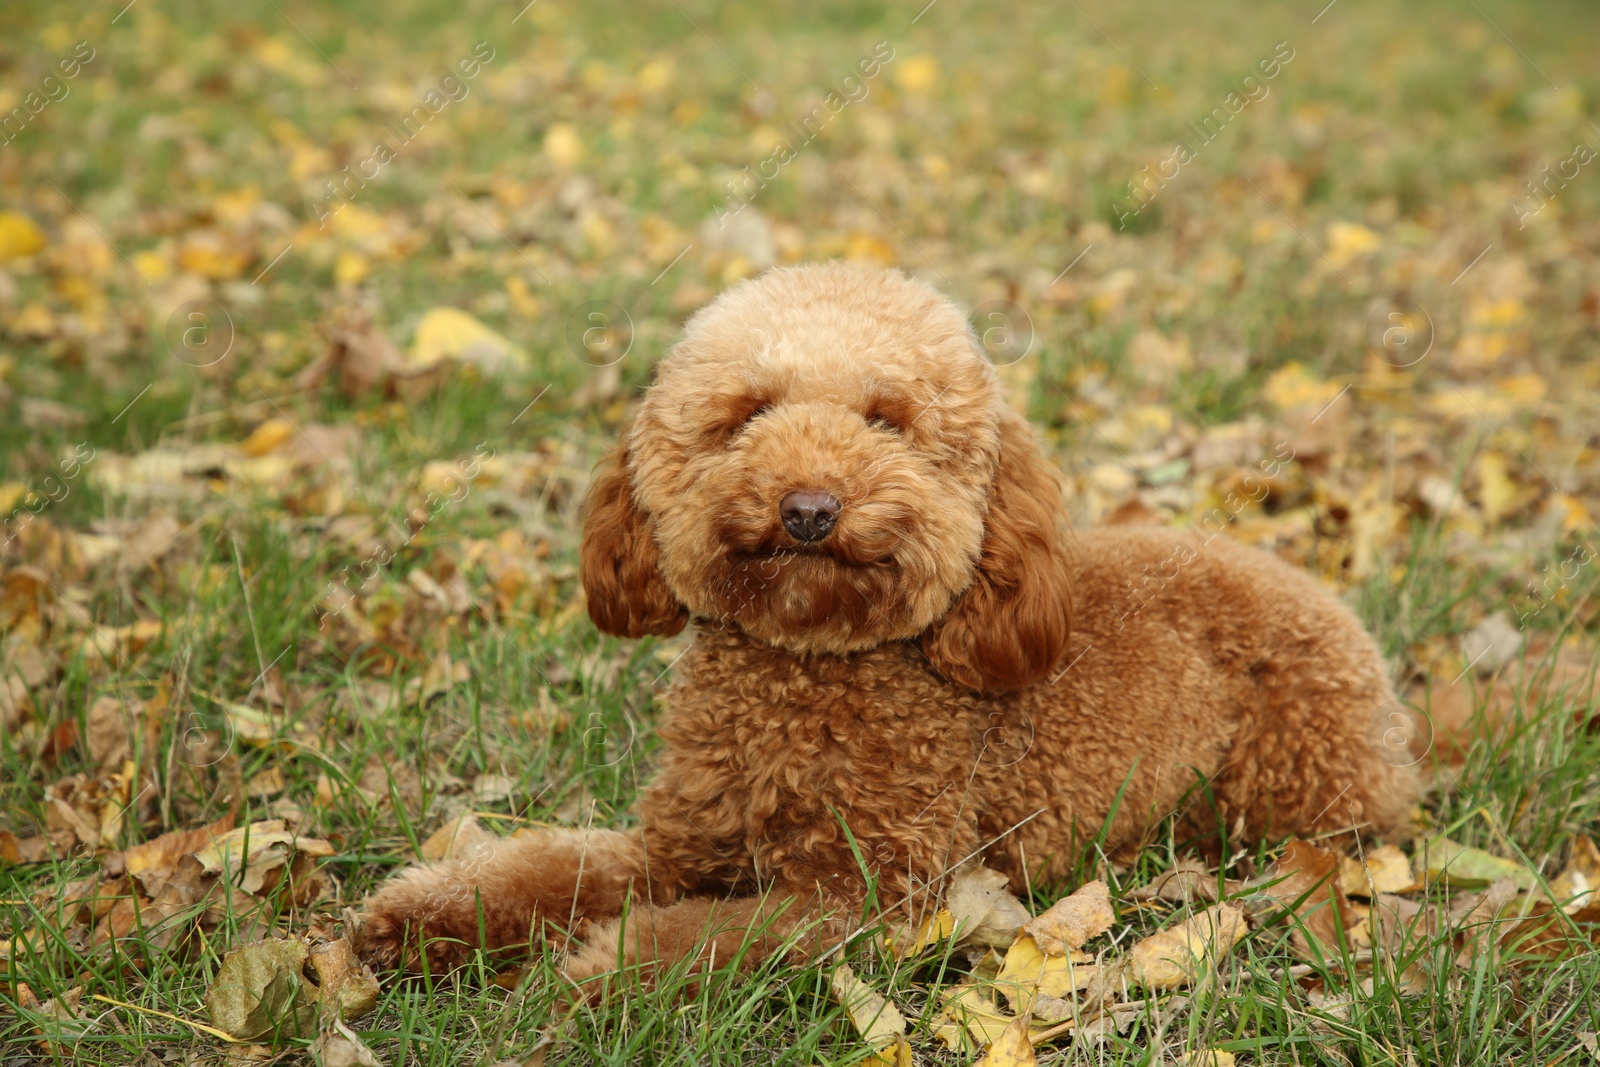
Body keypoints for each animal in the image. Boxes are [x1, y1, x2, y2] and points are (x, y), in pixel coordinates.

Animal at [356, 265, 1420, 985]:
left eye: (889, 420)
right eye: (746, 413)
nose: (809, 508)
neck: (808, 675)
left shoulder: (873, 894)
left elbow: (717, 937)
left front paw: (600, 970)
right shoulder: (678, 848)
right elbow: (549, 868)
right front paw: (421, 918)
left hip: (1291, 787)